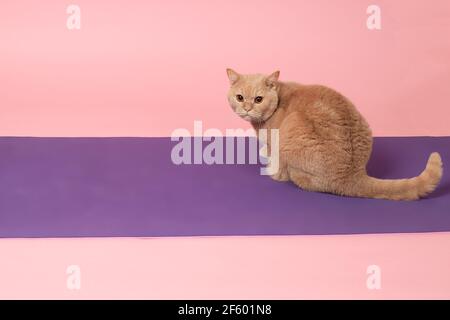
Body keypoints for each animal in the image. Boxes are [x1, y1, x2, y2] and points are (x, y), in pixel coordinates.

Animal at [225, 69, 442, 200]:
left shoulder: (276, 144)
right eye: (240, 97)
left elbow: (277, 164)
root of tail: (353, 174)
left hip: (292, 125)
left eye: (258, 99)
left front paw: (270, 167)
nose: (247, 108)